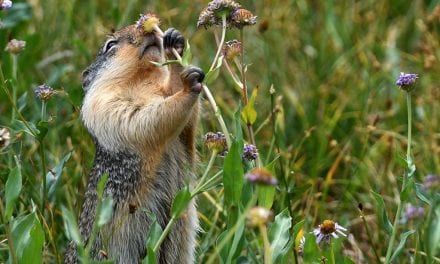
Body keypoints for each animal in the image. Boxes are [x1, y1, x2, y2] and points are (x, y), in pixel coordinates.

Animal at [64, 23, 205, 264]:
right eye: (110, 44)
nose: (147, 29)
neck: (141, 80)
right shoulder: (105, 104)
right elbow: (143, 116)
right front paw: (187, 85)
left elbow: (183, 121)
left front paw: (174, 43)